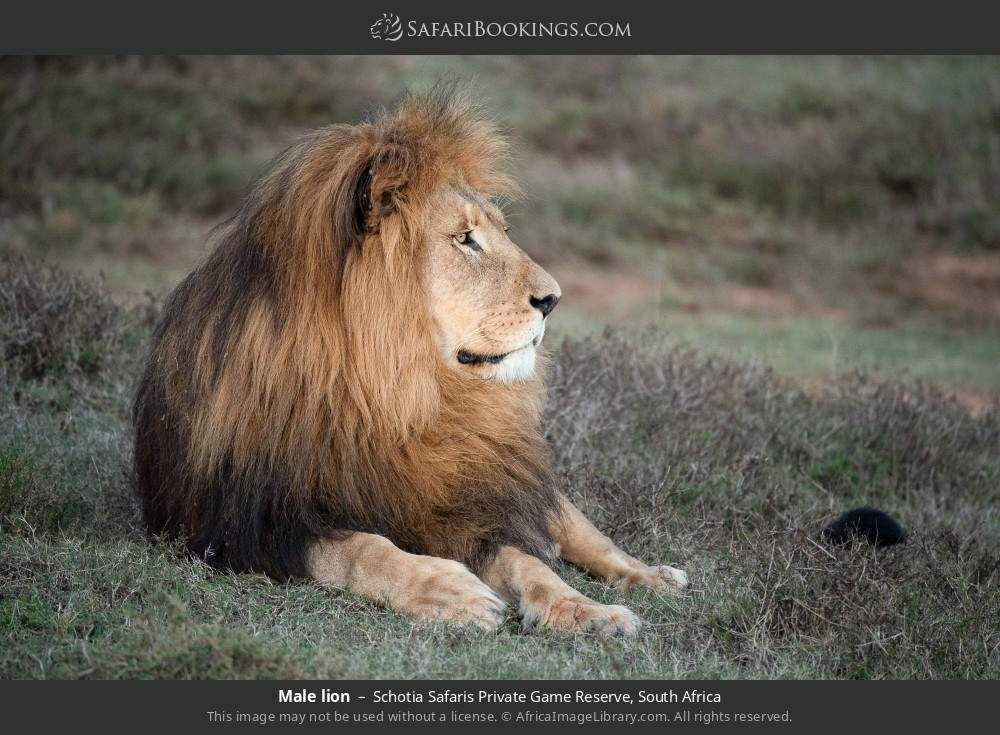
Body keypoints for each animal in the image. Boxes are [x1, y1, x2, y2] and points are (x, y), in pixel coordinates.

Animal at [133, 88, 688, 635]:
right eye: (465, 239)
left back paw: (654, 577)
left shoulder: (458, 506)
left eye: (502, 231)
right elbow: (364, 549)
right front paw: (451, 591)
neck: (386, 391)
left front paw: (585, 610)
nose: (552, 299)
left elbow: (527, 562)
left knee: (581, 532)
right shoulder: (244, 526)